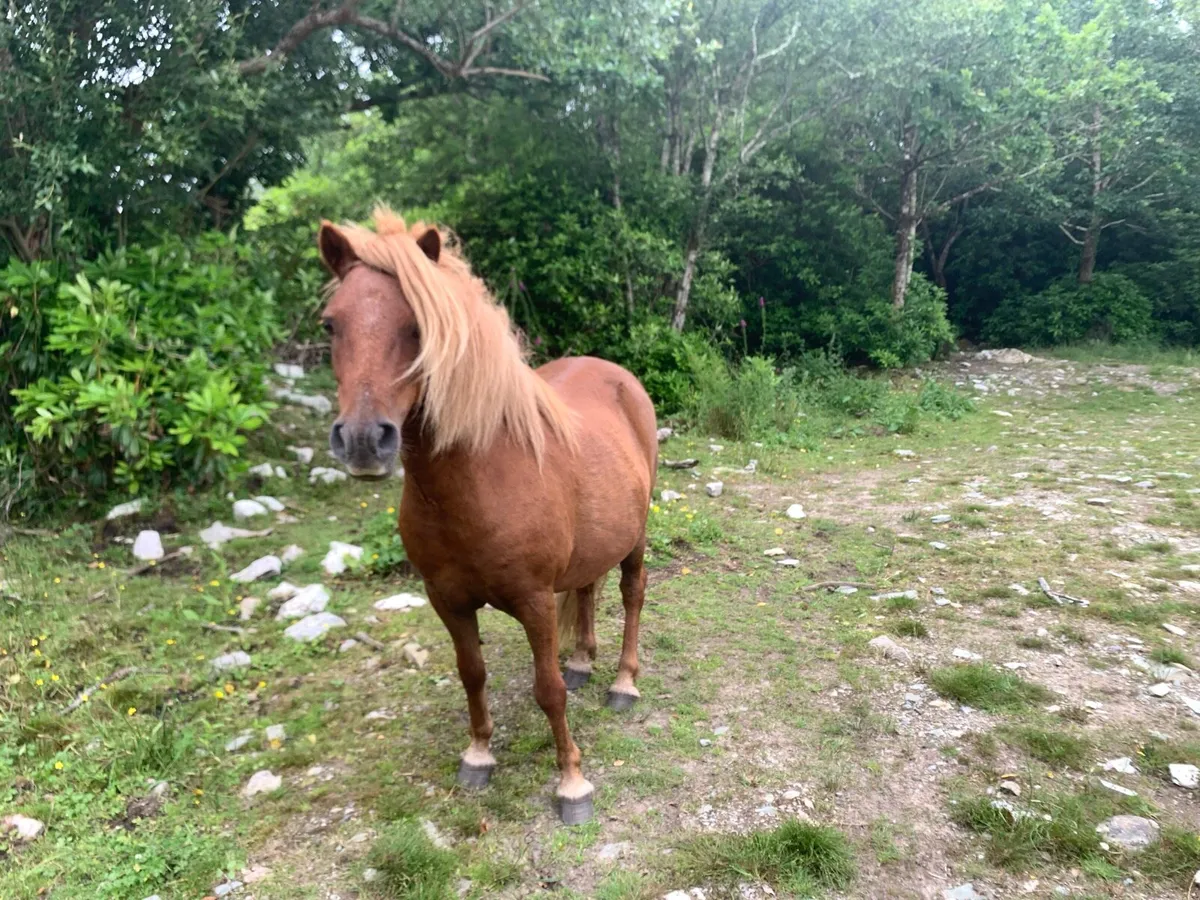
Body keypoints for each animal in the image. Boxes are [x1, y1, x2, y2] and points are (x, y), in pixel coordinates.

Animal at [316, 208, 658, 824]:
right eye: (332, 325)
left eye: (418, 326)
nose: (362, 440)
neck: (474, 486)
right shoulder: (446, 600)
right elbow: (471, 673)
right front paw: (478, 755)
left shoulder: (534, 602)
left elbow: (548, 690)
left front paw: (572, 783)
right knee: (588, 588)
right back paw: (584, 661)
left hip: (637, 538)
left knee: (631, 594)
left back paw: (623, 683)